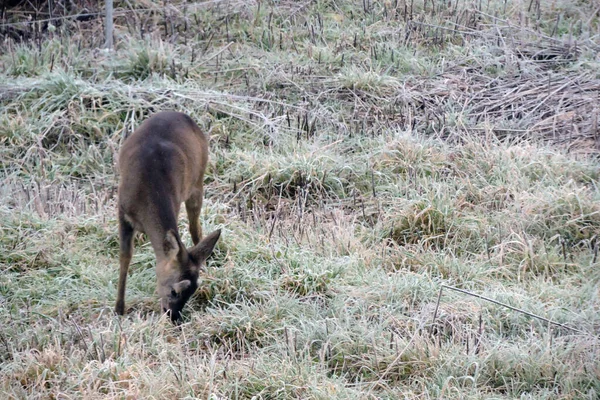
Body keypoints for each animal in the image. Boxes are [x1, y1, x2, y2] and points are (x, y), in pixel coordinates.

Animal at [115, 111, 220, 324]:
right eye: (174, 290)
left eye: (192, 293)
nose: (173, 316)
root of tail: (183, 115)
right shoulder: (122, 210)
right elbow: (125, 256)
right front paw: (119, 309)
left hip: (197, 182)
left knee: (195, 228)